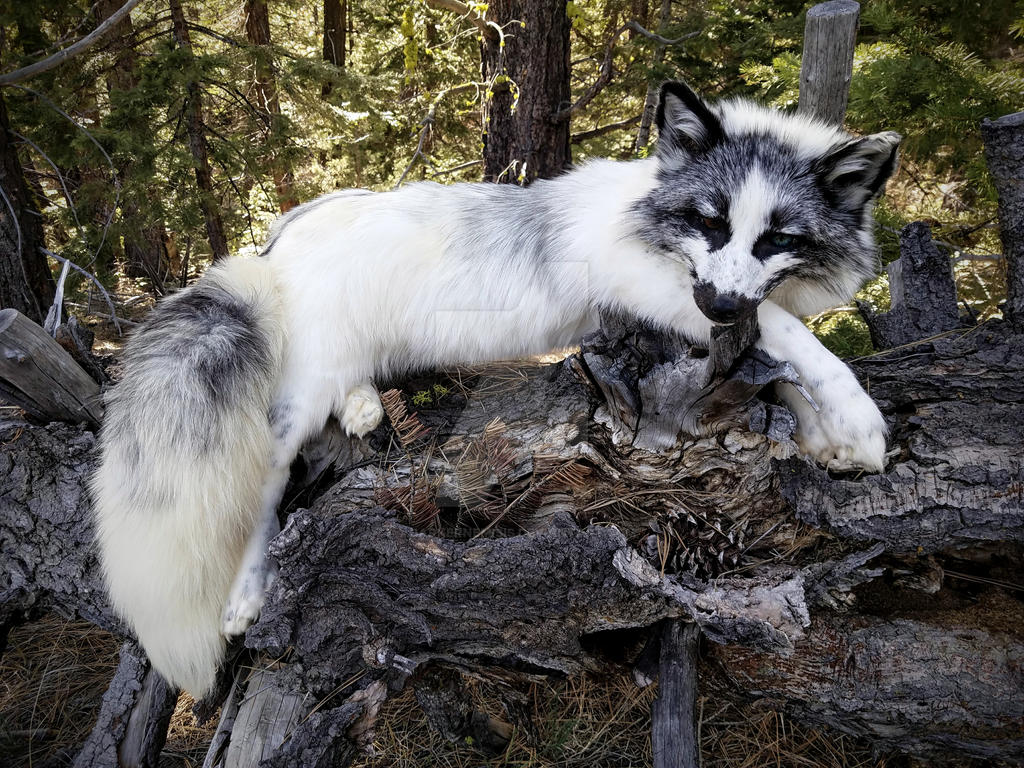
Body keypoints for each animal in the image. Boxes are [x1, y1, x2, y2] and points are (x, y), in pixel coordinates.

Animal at [92, 81, 899, 697]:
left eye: (780, 239)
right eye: (709, 221)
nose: (720, 305)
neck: (645, 212)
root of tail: (274, 243)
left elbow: (778, 360)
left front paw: (826, 440)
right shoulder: (652, 290)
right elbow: (791, 337)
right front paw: (859, 421)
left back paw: (362, 406)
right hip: (294, 402)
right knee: (266, 485)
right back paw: (246, 592)